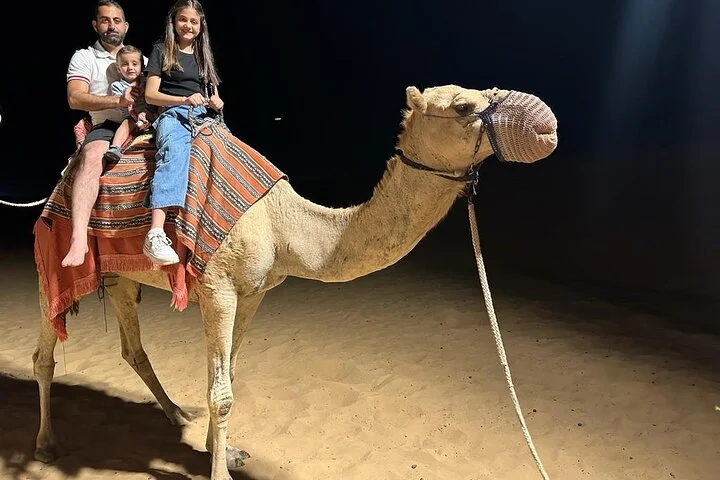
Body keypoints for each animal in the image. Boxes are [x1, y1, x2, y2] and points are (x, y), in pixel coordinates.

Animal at [32, 84, 558, 480]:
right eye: (464, 106)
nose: (546, 123)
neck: (282, 223)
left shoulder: (253, 294)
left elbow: (226, 378)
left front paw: (223, 452)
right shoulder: (217, 288)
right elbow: (221, 393)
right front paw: (220, 473)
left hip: (121, 276)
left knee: (132, 348)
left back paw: (177, 414)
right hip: (53, 259)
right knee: (44, 355)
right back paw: (46, 444)